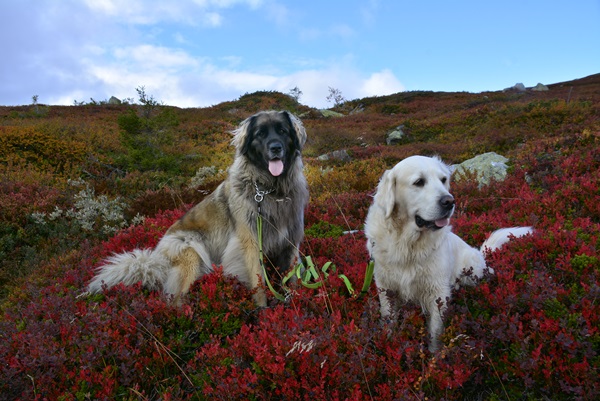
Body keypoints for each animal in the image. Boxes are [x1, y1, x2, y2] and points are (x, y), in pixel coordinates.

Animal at [364, 155, 532, 350]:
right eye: (419, 182)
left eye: (443, 179)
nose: (449, 201)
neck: (408, 243)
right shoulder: (385, 287)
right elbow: (388, 319)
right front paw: (387, 342)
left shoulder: (437, 292)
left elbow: (435, 332)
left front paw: (434, 356)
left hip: (472, 271)